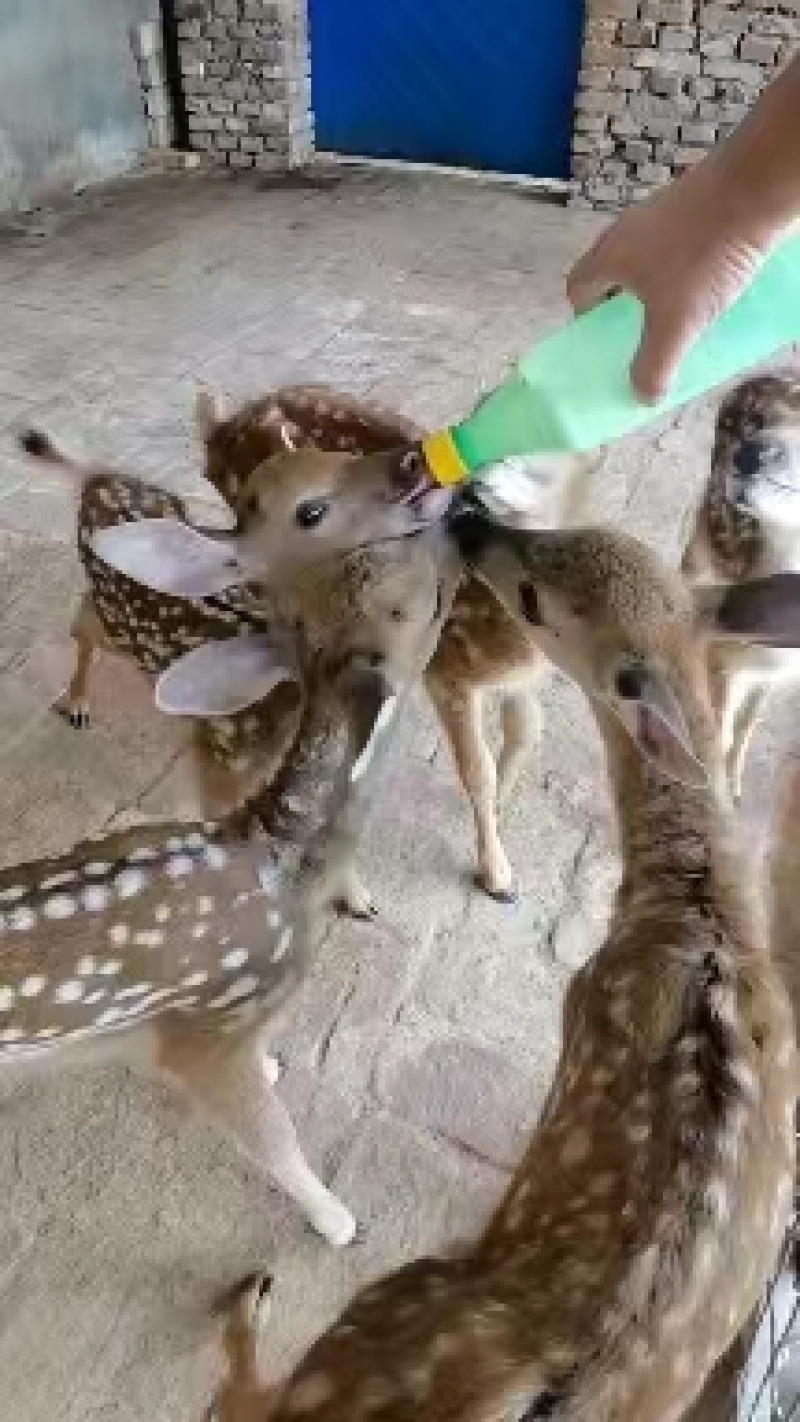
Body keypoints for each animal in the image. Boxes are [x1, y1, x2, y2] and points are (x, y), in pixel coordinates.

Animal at [20, 383, 589, 903]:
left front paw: (501, 824)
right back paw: (77, 701)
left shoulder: (512, 676)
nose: (463, 486)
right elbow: (478, 769)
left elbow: (524, 734)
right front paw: (498, 876)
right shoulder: (450, 673)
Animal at [201, 511, 799, 1422]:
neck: (698, 910)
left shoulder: (578, 1010)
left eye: (536, 599)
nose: (472, 518)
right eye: (574, 533)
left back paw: (250, 1297)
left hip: (374, 1314)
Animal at [682, 371, 800, 804]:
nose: (750, 454)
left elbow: (750, 720)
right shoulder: (724, 653)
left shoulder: (778, 671)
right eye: (758, 421)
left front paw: (734, 785)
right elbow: (723, 727)